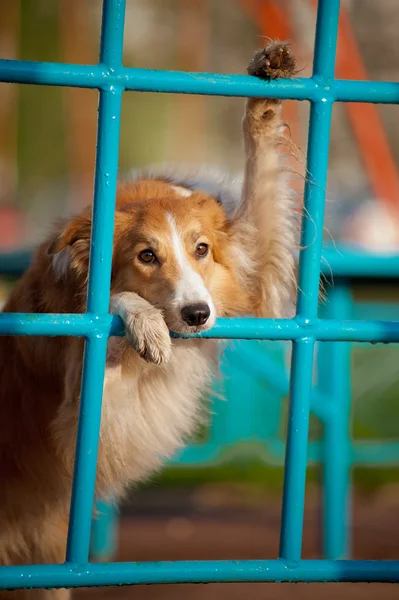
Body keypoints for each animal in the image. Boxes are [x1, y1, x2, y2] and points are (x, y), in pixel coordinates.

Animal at [0, 41, 298, 596]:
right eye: (146, 256)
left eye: (201, 249)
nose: (198, 315)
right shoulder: (92, 421)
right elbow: (117, 304)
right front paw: (141, 321)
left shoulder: (249, 279)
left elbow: (262, 185)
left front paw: (265, 98)